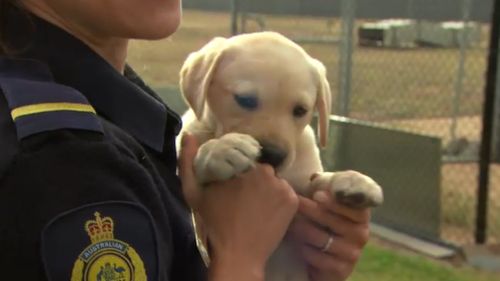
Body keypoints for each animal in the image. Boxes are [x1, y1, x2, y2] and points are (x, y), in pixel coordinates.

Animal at [179, 31, 382, 278]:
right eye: (245, 100)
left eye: (301, 110)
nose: (274, 155)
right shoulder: (200, 223)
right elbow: (201, 156)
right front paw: (223, 148)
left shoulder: (303, 193)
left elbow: (319, 181)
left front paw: (353, 180)